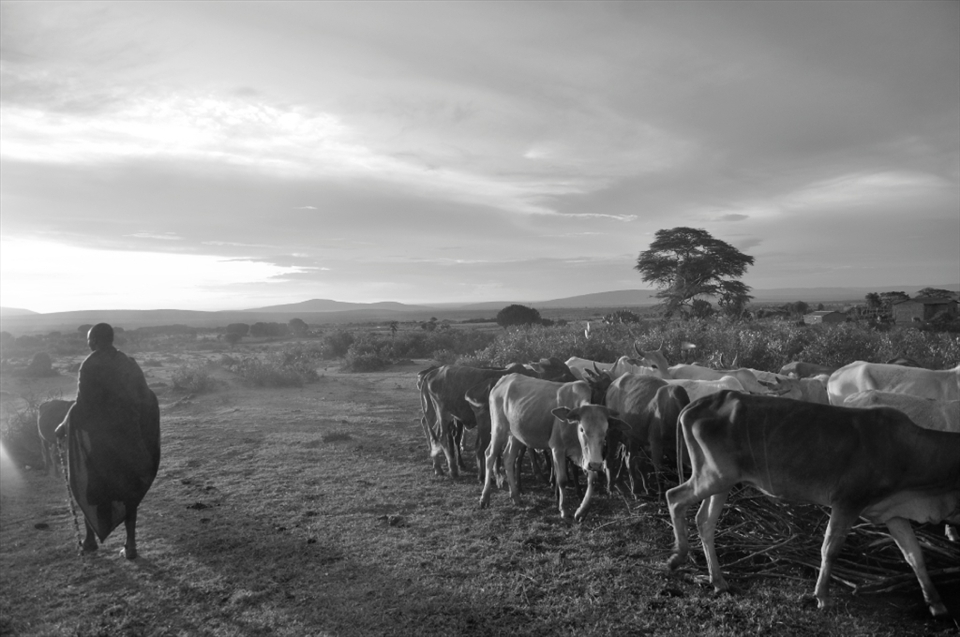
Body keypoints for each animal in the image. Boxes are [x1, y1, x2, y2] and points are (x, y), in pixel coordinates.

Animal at [472, 374, 631, 520]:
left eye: (605, 431)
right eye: (582, 429)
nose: (596, 464)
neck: (571, 426)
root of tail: (503, 380)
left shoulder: (583, 455)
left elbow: (593, 478)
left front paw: (581, 511)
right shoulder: (557, 449)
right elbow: (562, 479)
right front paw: (564, 509)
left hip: (516, 434)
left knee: (508, 458)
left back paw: (516, 496)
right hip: (498, 429)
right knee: (490, 455)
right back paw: (485, 497)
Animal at [666, 391, 960, 617]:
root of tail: (701, 401)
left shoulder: (893, 513)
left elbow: (915, 556)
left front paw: (936, 603)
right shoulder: (847, 502)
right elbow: (830, 549)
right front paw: (822, 597)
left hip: (721, 483)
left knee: (704, 521)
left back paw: (718, 581)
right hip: (713, 476)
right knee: (674, 498)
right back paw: (677, 557)